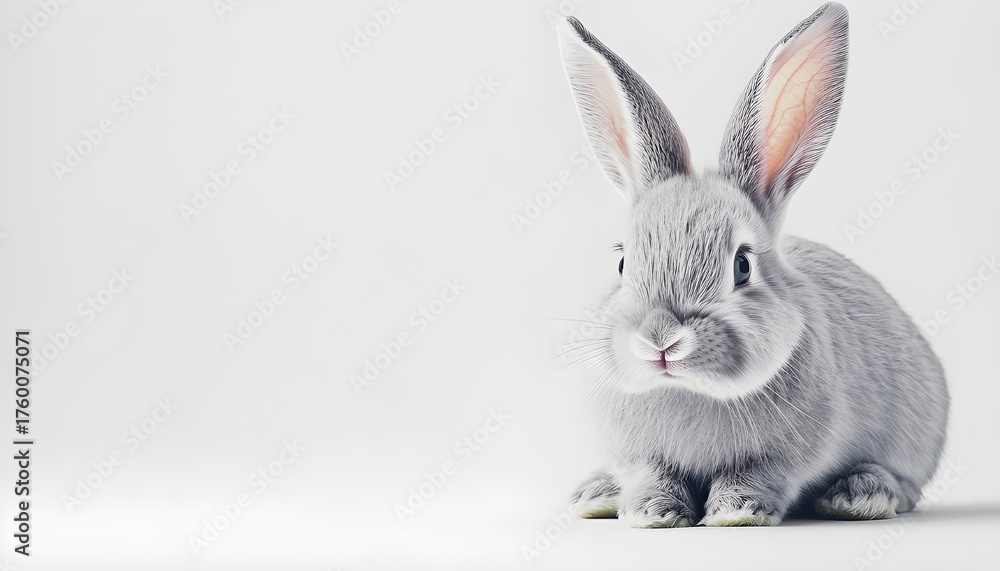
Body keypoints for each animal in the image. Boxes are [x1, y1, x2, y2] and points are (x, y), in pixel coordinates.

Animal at [556, 2, 949, 527]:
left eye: (742, 266)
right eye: (622, 264)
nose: (660, 340)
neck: (691, 391)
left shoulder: (779, 458)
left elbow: (753, 476)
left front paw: (735, 513)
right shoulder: (641, 457)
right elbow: (653, 476)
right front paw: (653, 514)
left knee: (904, 485)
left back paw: (859, 494)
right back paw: (594, 495)